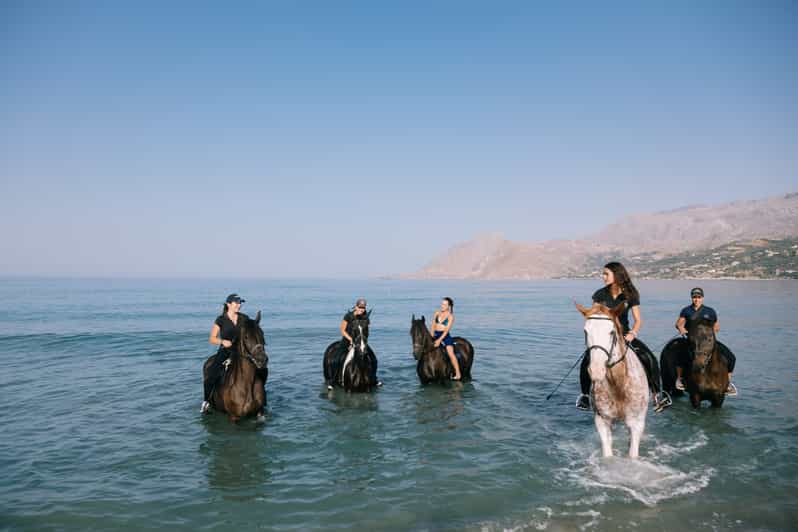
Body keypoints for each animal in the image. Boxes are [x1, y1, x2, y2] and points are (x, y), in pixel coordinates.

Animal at [577, 302, 649, 458]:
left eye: (611, 332)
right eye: (585, 331)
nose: (596, 370)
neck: (618, 384)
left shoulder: (636, 423)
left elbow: (632, 455)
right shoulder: (602, 421)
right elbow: (608, 455)